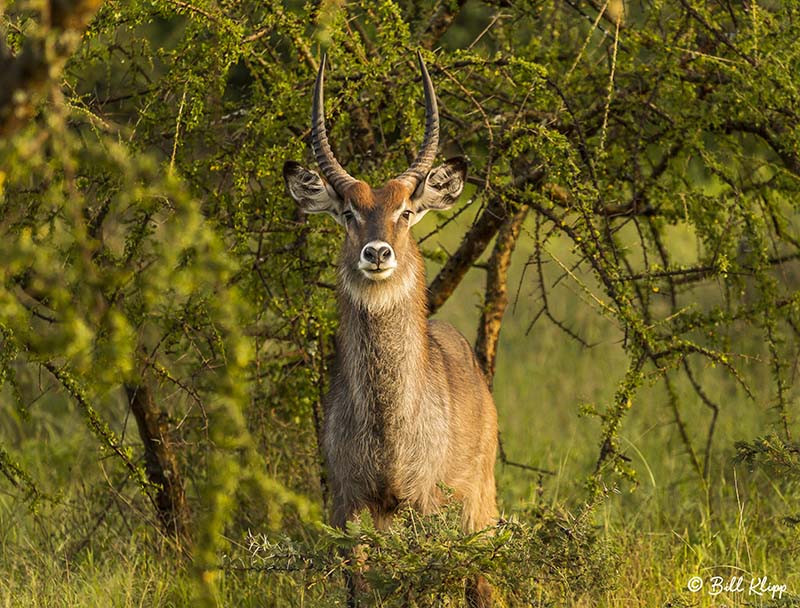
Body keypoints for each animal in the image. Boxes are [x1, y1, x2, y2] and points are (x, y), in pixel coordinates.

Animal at [284, 51, 496, 608]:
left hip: (477, 507)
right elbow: (360, 588)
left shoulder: (425, 503)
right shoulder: (349, 505)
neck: (389, 428)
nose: (377, 253)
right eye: (348, 212)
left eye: (405, 210)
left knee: (482, 581)